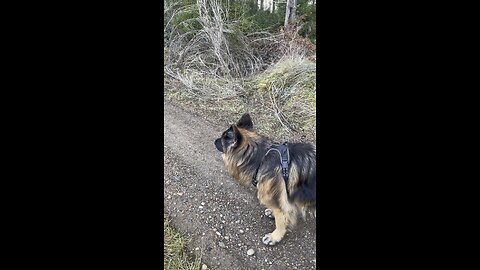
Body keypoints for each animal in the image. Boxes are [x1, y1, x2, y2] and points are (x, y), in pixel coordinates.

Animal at [215, 113, 316, 246]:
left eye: (222, 139)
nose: (215, 140)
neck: (261, 157)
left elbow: (280, 219)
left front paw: (275, 236)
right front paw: (272, 213)